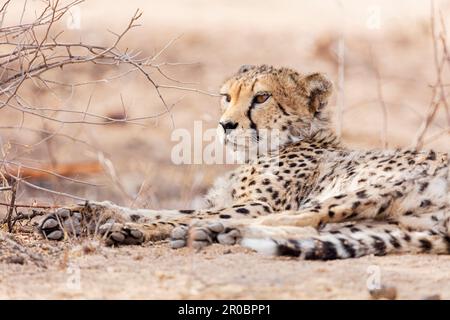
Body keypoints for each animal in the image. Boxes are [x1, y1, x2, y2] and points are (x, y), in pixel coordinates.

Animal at [37, 65, 450, 260]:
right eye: (226, 97)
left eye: (262, 98)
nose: (226, 124)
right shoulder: (224, 200)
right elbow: (159, 210)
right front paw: (82, 214)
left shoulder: (257, 203)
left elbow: (178, 216)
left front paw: (120, 226)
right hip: (379, 217)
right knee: (319, 229)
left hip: (373, 188)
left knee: (294, 220)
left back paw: (216, 232)